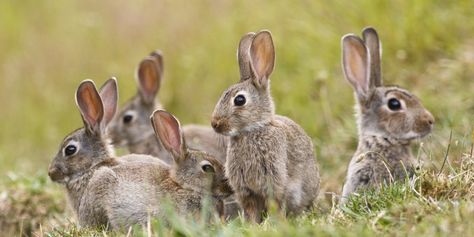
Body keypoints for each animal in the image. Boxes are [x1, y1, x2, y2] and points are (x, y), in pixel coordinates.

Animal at [210, 29, 318, 222]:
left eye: (239, 100)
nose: (215, 124)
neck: (251, 130)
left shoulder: (273, 181)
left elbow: (275, 204)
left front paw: (277, 223)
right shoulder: (246, 190)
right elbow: (251, 209)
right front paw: (253, 224)